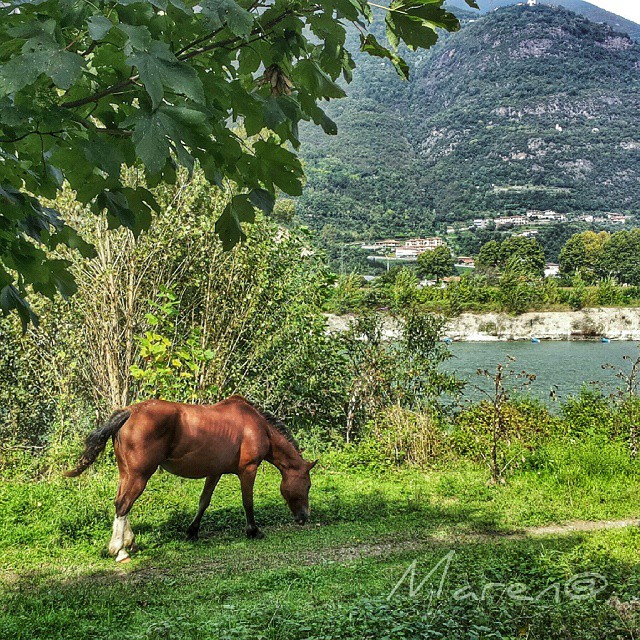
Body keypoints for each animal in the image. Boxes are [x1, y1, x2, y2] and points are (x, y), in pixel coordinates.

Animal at [64, 395, 317, 563]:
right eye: (307, 485)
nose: (304, 517)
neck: (258, 427)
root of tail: (130, 412)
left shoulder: (214, 472)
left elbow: (203, 502)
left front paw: (192, 531)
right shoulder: (248, 470)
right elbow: (248, 503)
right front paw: (253, 531)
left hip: (127, 474)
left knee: (122, 504)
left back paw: (129, 543)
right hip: (139, 475)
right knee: (123, 505)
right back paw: (120, 550)